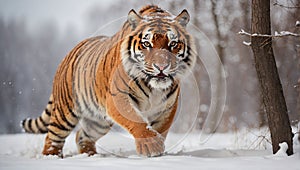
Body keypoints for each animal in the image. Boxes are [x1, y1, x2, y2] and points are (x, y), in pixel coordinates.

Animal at [21, 4, 197, 157]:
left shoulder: (167, 108)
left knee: (82, 136)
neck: (154, 88)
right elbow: (138, 122)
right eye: (147, 44)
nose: (161, 66)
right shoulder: (118, 98)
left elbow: (160, 129)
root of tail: (68, 54)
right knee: (52, 138)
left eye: (173, 43)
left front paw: (157, 152)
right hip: (65, 113)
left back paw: (91, 156)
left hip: (98, 121)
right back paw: (52, 157)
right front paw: (151, 147)